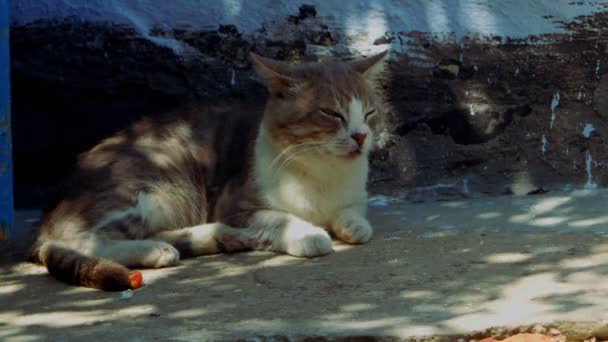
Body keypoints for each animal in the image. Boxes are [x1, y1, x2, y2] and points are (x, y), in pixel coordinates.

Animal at [29, 50, 384, 290]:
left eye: (369, 113)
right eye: (332, 114)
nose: (361, 136)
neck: (325, 175)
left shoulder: (353, 196)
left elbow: (354, 211)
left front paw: (353, 225)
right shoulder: (235, 204)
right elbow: (280, 217)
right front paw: (310, 234)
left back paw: (217, 238)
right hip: (153, 187)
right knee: (84, 241)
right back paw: (159, 249)